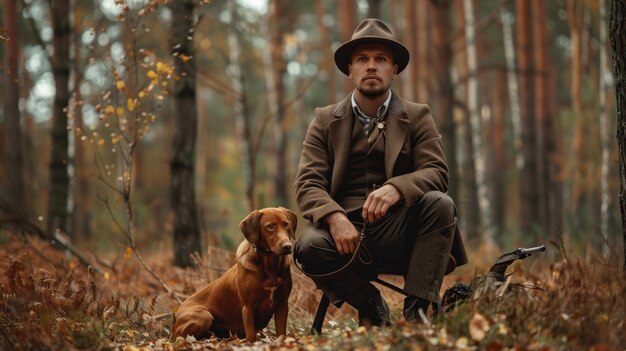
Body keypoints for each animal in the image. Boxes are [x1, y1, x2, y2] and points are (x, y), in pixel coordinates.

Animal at [171, 208, 298, 342]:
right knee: (181, 338)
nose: (287, 246)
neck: (270, 265)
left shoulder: (282, 304)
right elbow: (251, 336)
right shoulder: (248, 307)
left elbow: (281, 333)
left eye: (286, 224)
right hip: (204, 316)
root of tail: (176, 314)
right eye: (270, 226)